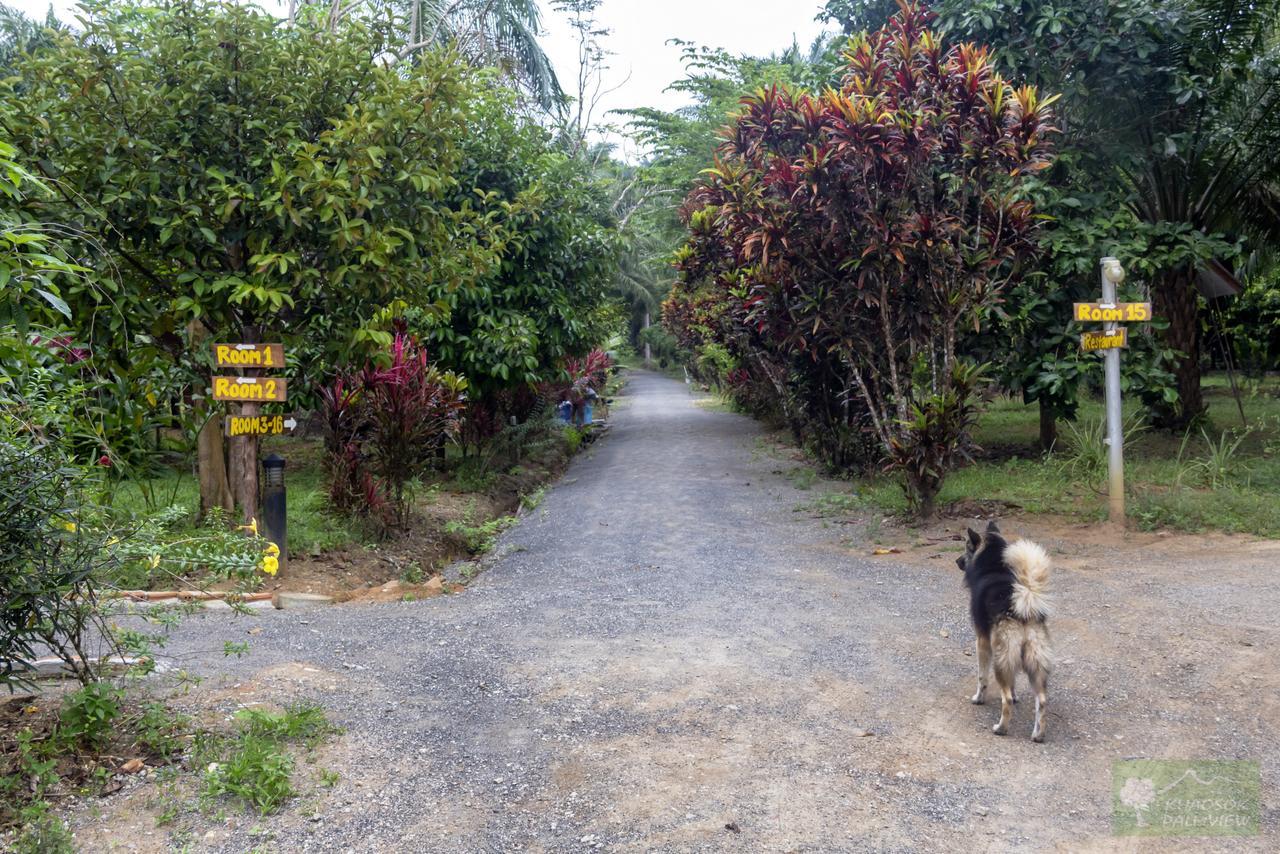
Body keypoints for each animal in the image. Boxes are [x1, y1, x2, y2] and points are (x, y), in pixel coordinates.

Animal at [957, 522, 1054, 742]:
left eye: (966, 546)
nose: (956, 561)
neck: (994, 566)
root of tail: (1024, 607)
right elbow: (1014, 682)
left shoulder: (982, 641)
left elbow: (982, 678)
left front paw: (979, 698)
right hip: (1034, 662)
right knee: (1042, 700)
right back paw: (1038, 735)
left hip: (1000, 661)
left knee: (1006, 700)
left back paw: (1001, 728)